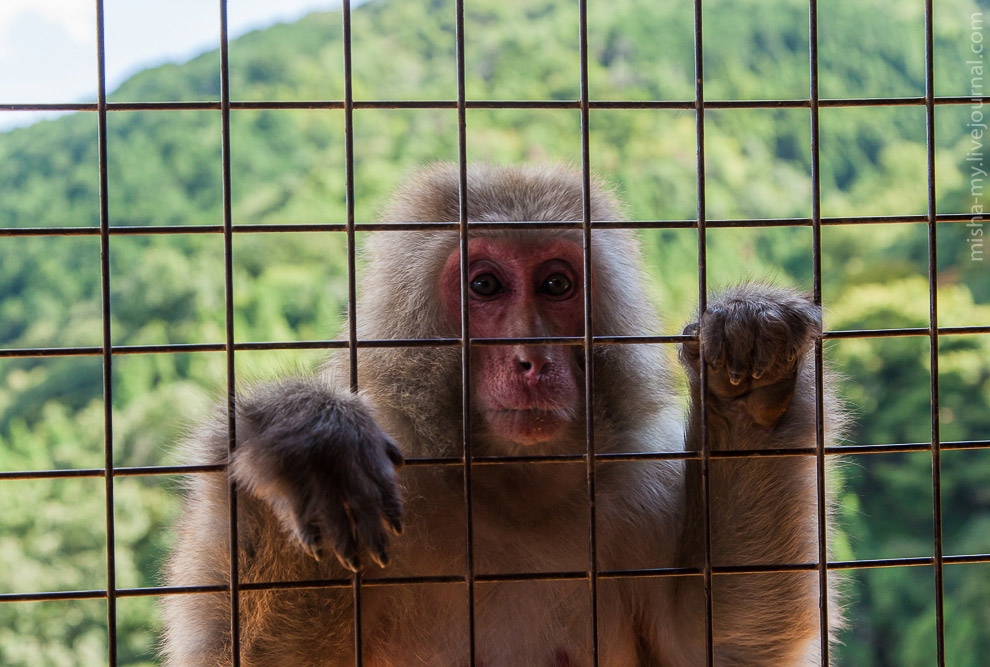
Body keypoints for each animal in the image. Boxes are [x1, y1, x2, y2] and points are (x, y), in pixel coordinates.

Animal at [161, 163, 844, 667]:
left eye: (556, 285)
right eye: (485, 286)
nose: (531, 358)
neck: (508, 485)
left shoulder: (636, 494)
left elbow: (717, 646)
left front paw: (749, 392)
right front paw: (303, 447)